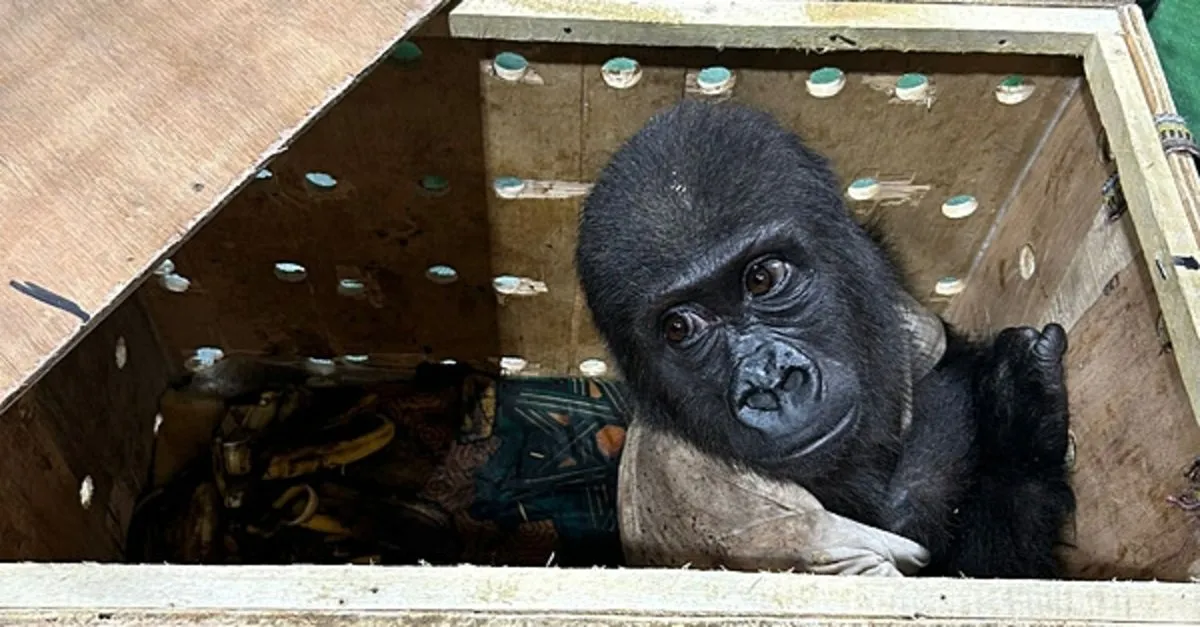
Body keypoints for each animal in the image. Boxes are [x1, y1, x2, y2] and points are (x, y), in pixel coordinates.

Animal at [576, 99, 1075, 576]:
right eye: (680, 327)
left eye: (762, 278)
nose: (769, 382)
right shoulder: (737, 511)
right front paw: (1019, 428)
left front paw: (1017, 412)